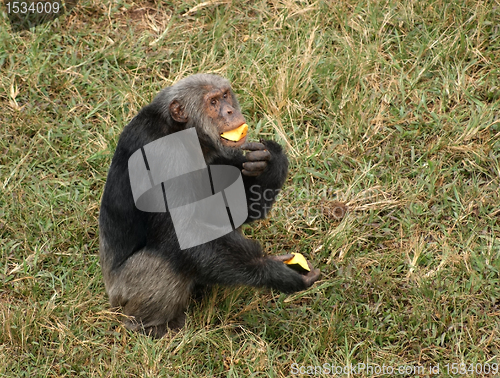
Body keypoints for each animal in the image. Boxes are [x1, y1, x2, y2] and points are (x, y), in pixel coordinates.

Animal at [98, 73, 320, 336]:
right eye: (213, 102)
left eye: (225, 95)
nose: (230, 110)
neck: (184, 133)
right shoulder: (163, 157)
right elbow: (185, 233)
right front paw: (277, 271)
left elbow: (238, 210)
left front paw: (270, 159)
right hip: (123, 292)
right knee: (163, 262)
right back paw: (150, 327)